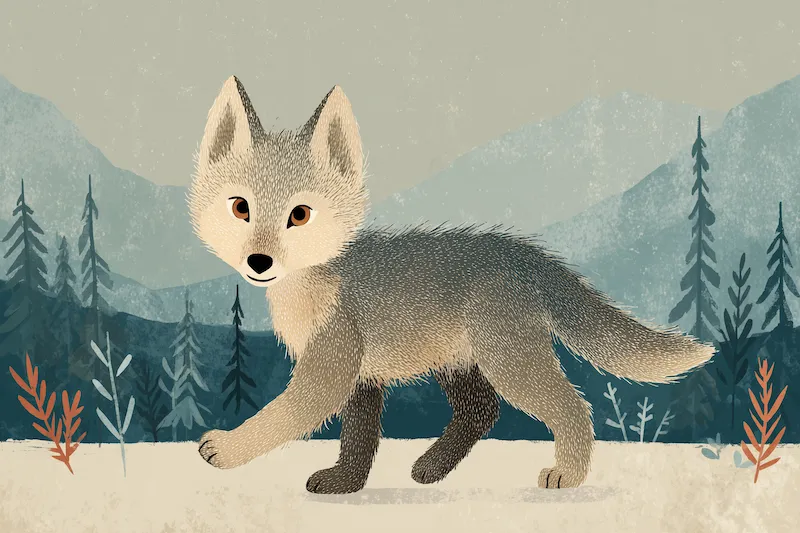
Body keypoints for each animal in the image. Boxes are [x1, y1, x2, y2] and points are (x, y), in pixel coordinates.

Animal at [189, 75, 715, 494]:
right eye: (241, 208)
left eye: (299, 215)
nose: (259, 262)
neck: (310, 292)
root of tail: (524, 252)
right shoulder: (361, 375)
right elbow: (360, 438)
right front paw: (344, 484)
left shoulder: (331, 367)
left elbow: (282, 417)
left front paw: (226, 448)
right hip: (459, 361)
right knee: (483, 411)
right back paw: (431, 468)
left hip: (508, 361)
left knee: (572, 406)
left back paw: (566, 474)